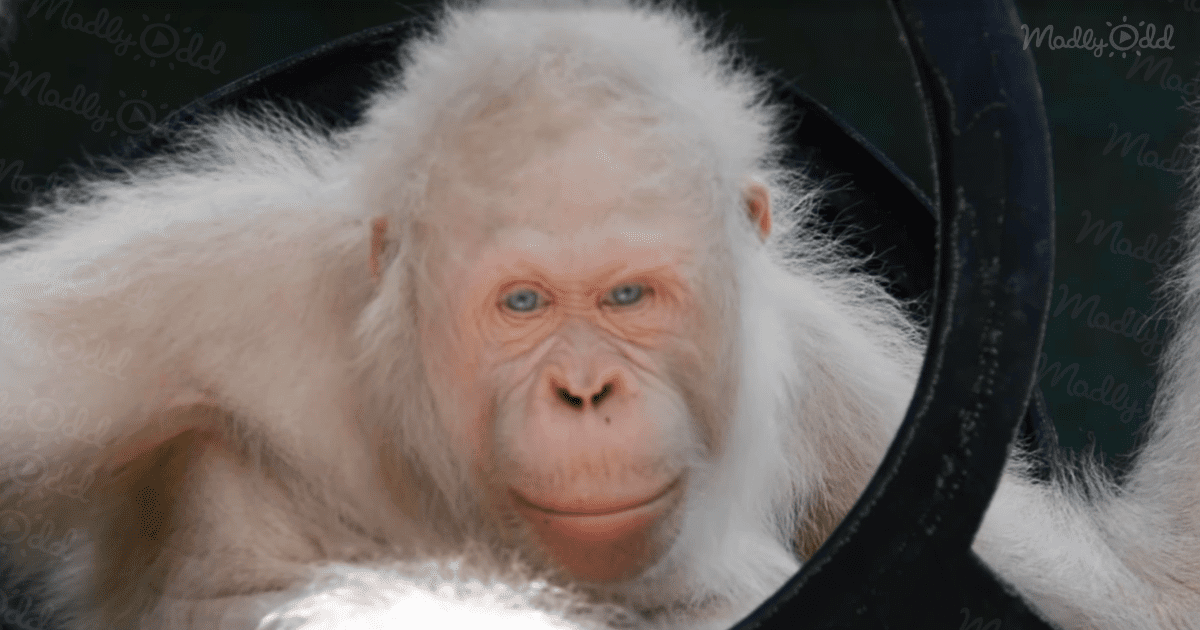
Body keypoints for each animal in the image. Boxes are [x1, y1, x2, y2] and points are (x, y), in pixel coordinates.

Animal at [1, 1, 1199, 629]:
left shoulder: (829, 378)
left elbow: (1132, 597)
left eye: (629, 297)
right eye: (523, 303)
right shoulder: (185, 293)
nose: (585, 389)